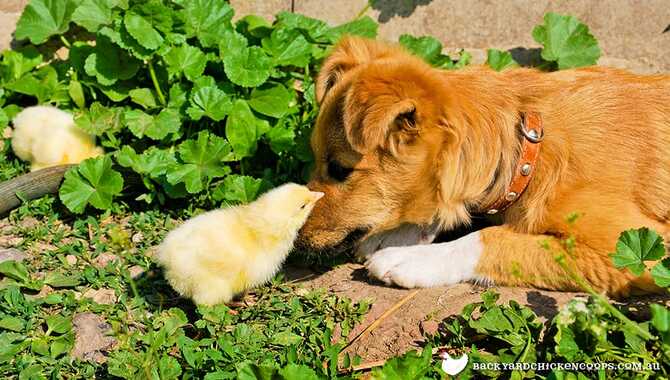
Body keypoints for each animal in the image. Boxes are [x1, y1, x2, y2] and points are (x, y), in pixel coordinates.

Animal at [300, 36, 670, 296]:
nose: (298, 240)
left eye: (340, 169)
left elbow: (491, 238)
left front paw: (410, 258)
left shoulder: (636, 251)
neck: (529, 149)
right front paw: (392, 236)